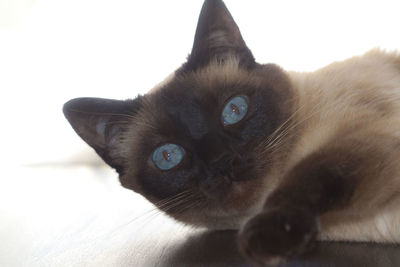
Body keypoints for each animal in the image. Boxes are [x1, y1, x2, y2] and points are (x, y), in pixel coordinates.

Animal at [62, 0, 400, 266]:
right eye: (168, 156)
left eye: (234, 110)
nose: (222, 162)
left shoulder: (372, 135)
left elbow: (315, 171)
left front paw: (268, 238)